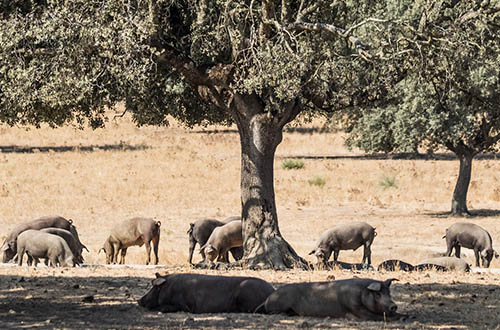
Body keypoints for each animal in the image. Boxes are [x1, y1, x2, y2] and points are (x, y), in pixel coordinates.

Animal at [254, 278, 406, 320]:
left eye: (389, 293)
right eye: (378, 294)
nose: (393, 305)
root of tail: (267, 299)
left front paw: (406, 315)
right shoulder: (355, 308)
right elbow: (375, 316)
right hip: (278, 304)